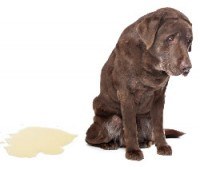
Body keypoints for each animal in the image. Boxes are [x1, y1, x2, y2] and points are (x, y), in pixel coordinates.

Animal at [85, 6, 192, 161]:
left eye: (189, 41)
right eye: (170, 38)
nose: (187, 68)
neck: (149, 65)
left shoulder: (159, 97)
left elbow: (159, 126)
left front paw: (162, 146)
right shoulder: (126, 95)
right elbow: (130, 127)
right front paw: (133, 151)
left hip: (145, 120)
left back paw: (145, 142)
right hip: (112, 120)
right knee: (90, 139)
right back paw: (109, 144)